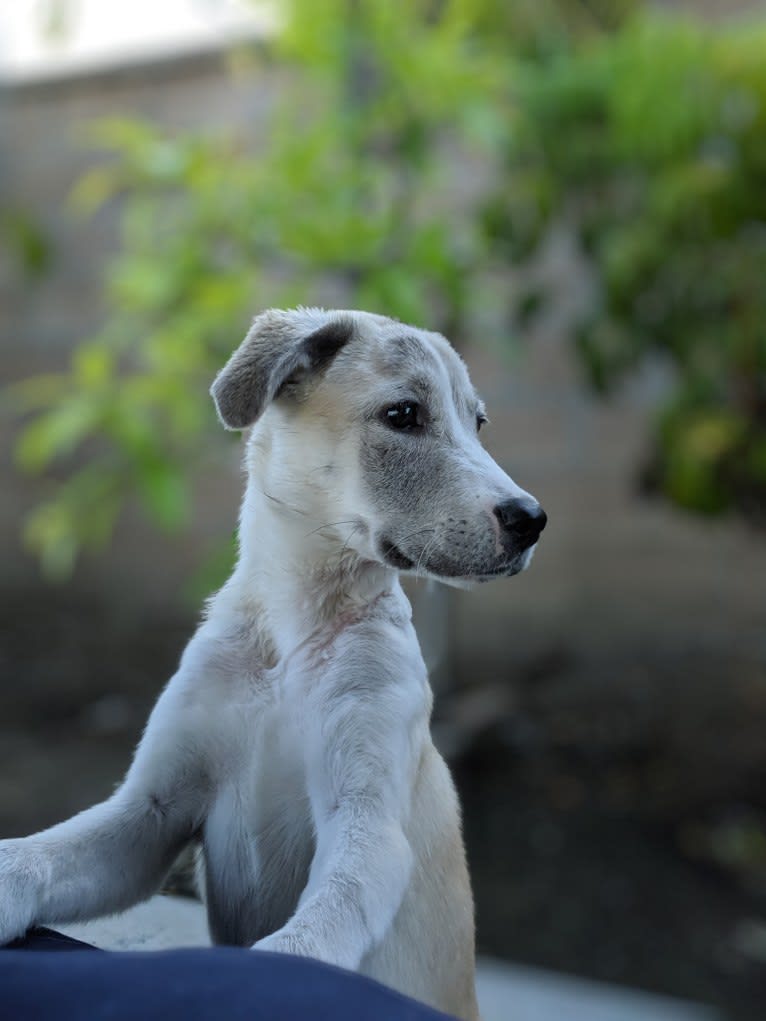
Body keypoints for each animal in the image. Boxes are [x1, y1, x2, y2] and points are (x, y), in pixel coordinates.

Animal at [3, 310, 547, 1021]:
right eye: (404, 414)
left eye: (477, 423)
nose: (532, 520)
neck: (293, 638)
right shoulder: (149, 815)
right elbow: (32, 859)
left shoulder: (365, 826)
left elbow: (309, 937)